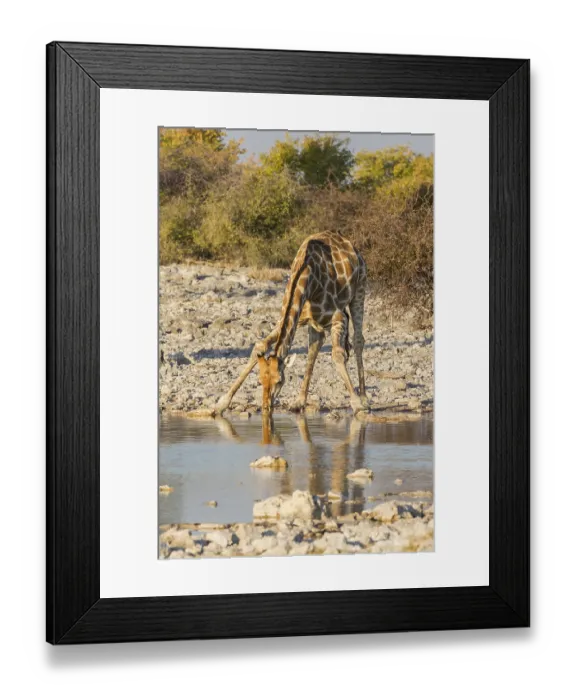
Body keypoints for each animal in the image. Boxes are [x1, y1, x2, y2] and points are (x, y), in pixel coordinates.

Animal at [213, 231, 369, 416]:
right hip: (316, 323)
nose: (267, 406)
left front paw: (357, 403)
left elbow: (338, 354)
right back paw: (299, 402)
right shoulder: (293, 319)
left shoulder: (338, 317)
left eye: (279, 381)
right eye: (260, 380)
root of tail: (353, 248)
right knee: (315, 346)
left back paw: (365, 398)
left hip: (359, 289)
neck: (307, 280)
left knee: (358, 340)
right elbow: (259, 346)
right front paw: (222, 403)